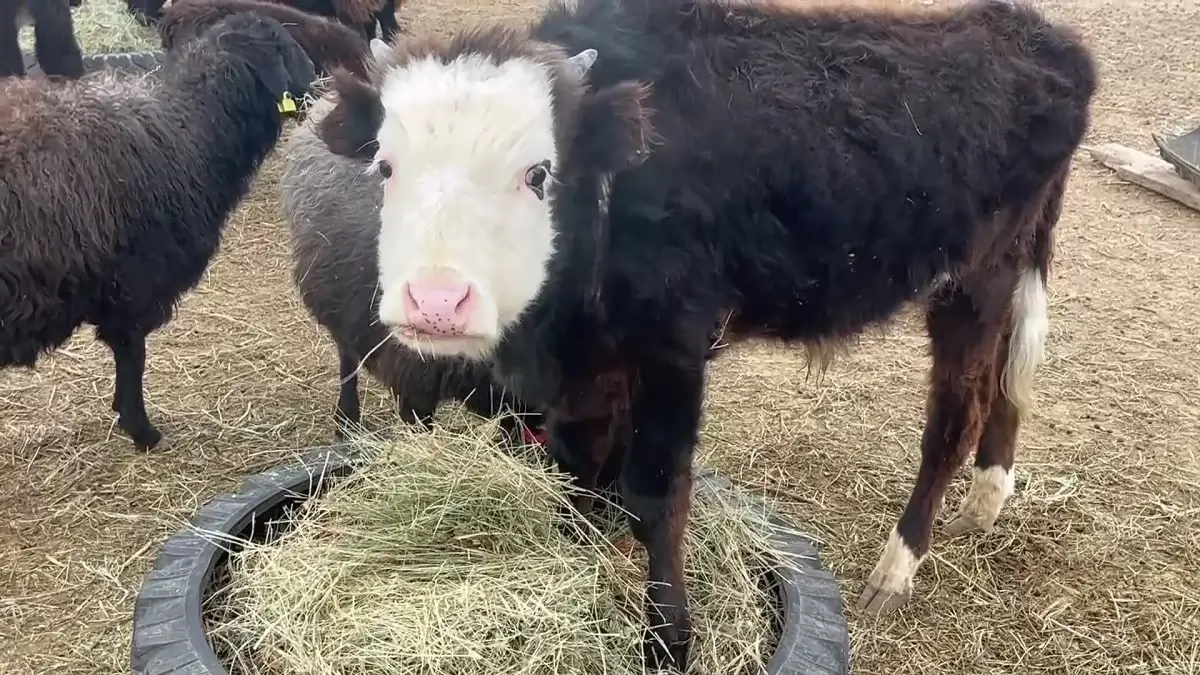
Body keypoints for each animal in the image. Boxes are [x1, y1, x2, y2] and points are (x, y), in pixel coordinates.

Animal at [0, 10, 316, 449]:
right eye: (284, 46)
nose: (317, 81)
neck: (189, 135)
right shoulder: (134, 286)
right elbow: (132, 357)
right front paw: (141, 430)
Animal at [316, 0, 1099, 662]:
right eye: (386, 167)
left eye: (537, 173)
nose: (436, 301)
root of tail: (1036, 35)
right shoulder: (589, 376)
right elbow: (578, 473)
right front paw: (578, 566)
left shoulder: (673, 353)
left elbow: (655, 496)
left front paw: (668, 639)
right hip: (1008, 274)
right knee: (1010, 380)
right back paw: (988, 496)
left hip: (972, 282)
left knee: (954, 416)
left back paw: (896, 567)